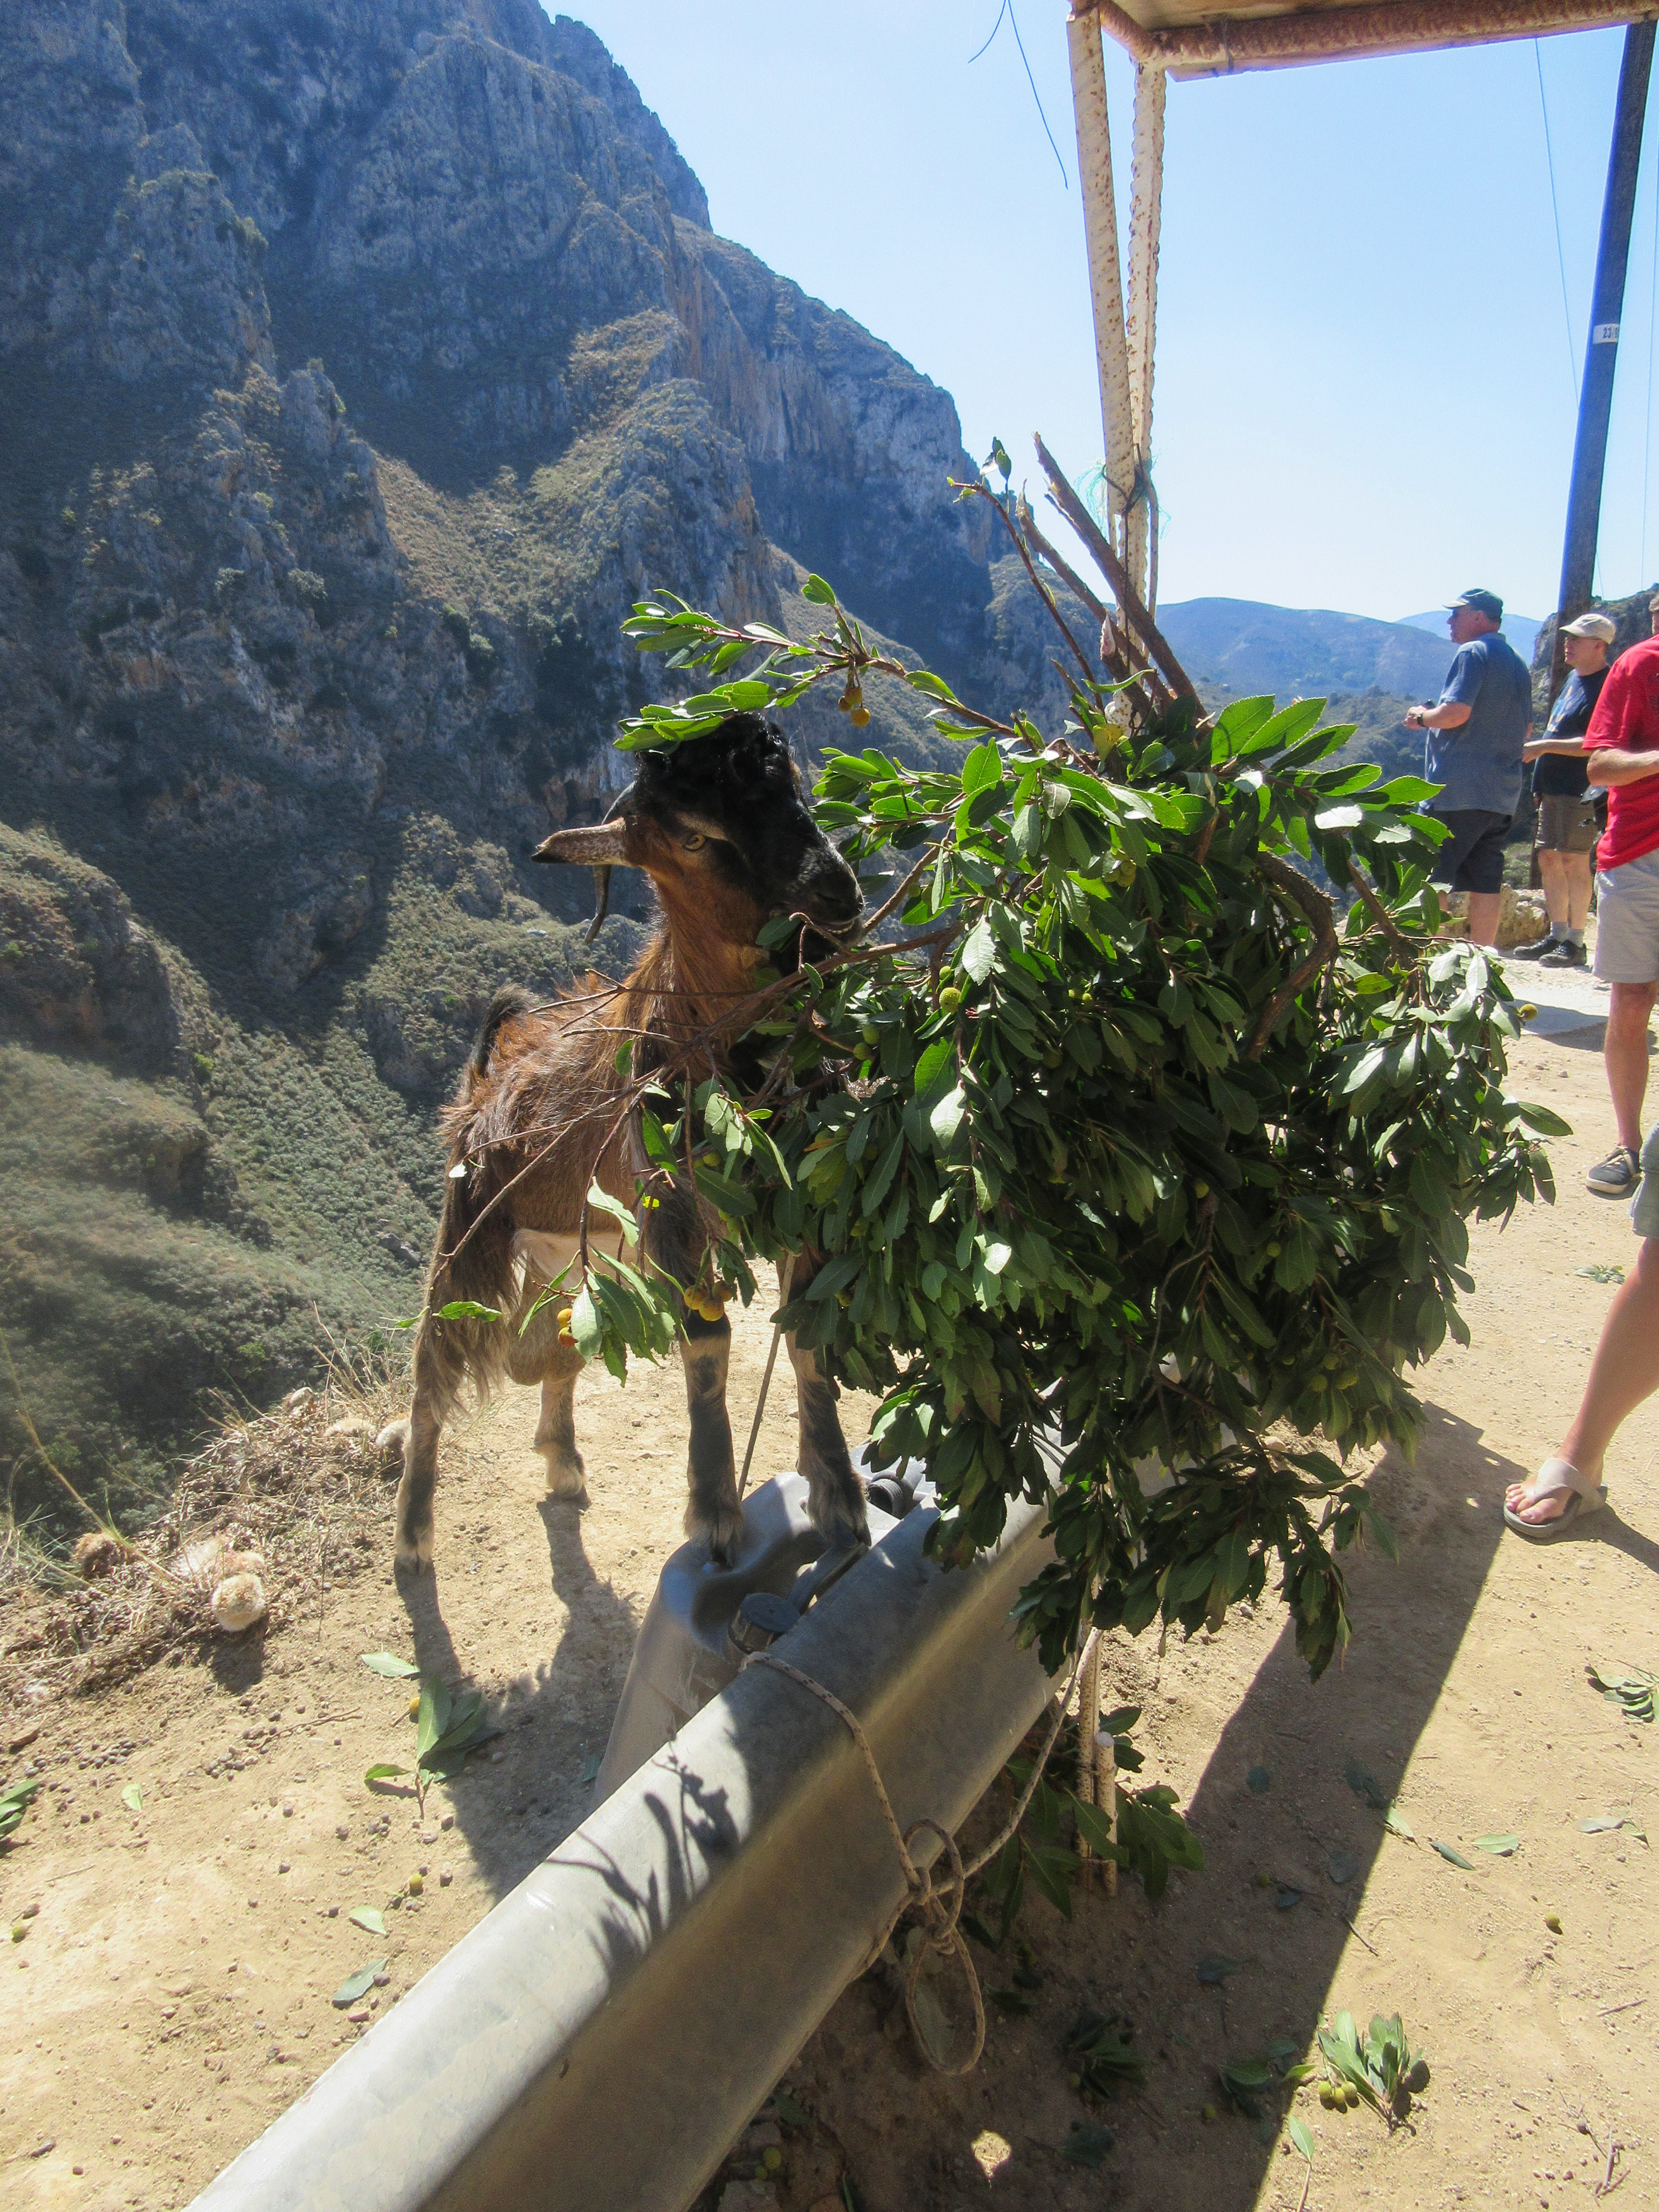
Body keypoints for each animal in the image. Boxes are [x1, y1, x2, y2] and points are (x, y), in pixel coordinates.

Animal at [383, 712, 871, 1574]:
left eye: (794, 783)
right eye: (693, 836)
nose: (836, 890)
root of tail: (483, 1082)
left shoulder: (798, 1201)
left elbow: (809, 1341)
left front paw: (837, 1488)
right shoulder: (672, 1208)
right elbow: (707, 1343)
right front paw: (714, 1514)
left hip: (582, 1252)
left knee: (555, 1347)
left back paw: (562, 1460)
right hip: (470, 1232)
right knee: (433, 1371)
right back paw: (412, 1536)